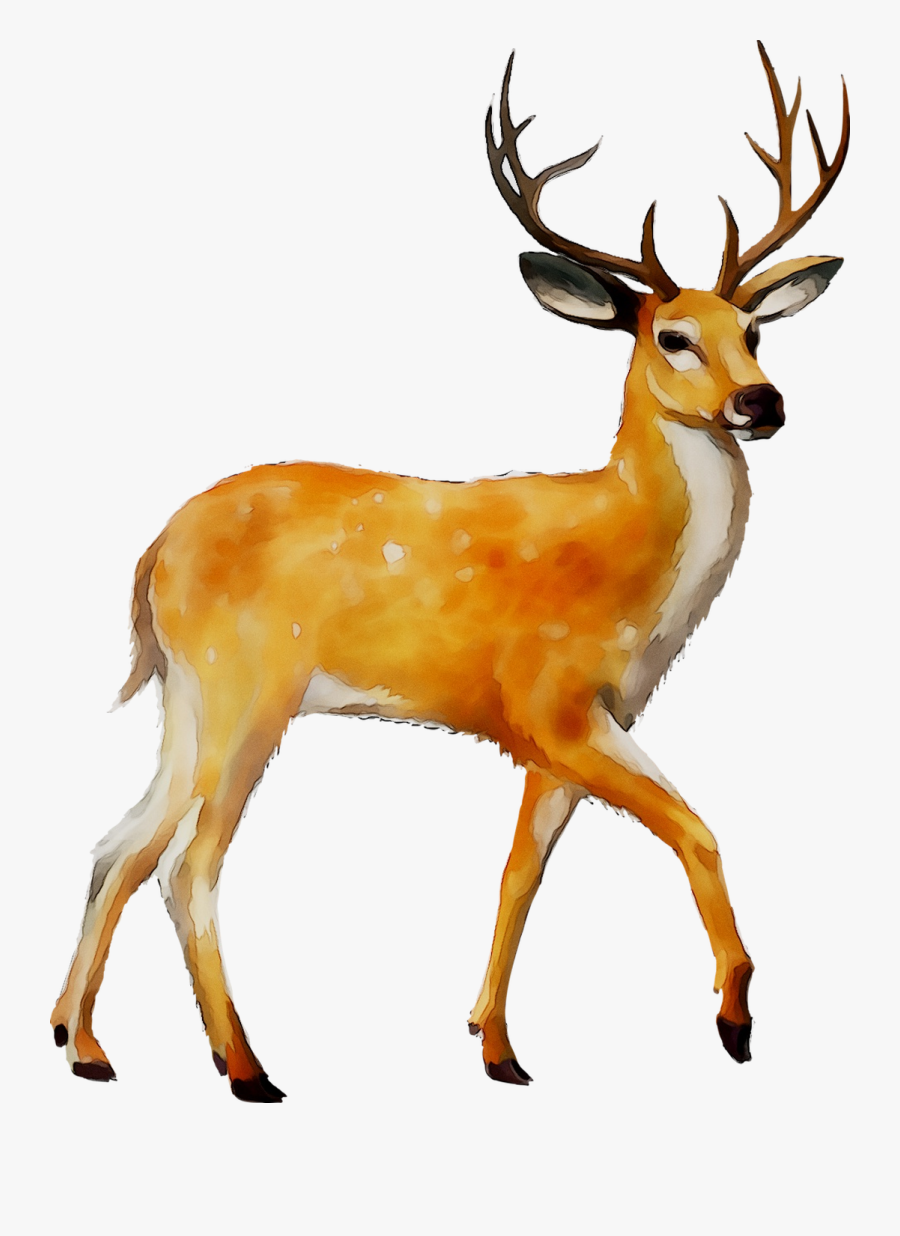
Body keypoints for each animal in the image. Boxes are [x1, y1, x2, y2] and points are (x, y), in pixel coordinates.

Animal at [52, 44, 849, 1101]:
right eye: (671, 337)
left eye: (754, 333)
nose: (762, 402)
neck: (637, 566)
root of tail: (151, 555)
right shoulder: (548, 701)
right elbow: (696, 828)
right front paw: (734, 1019)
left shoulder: (585, 723)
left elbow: (520, 872)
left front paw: (496, 1046)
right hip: (246, 686)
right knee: (190, 864)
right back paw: (247, 1068)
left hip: (186, 694)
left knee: (118, 847)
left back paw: (83, 1045)